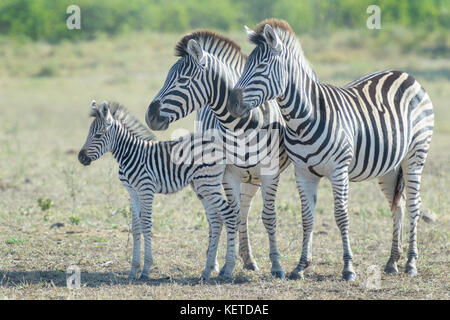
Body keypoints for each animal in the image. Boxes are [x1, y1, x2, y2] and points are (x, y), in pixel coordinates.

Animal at [77, 100, 239, 280]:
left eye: (98, 135)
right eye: (88, 133)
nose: (81, 158)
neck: (129, 154)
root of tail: (217, 145)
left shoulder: (146, 189)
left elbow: (146, 224)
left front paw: (146, 269)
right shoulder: (132, 192)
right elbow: (136, 227)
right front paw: (133, 269)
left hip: (208, 184)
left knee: (229, 215)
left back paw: (228, 269)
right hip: (202, 186)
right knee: (216, 220)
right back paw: (207, 270)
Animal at [145, 31, 292, 278]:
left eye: (182, 81)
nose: (150, 116)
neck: (242, 127)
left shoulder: (269, 173)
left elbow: (268, 216)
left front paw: (277, 266)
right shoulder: (228, 174)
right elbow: (231, 216)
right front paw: (227, 266)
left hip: (252, 178)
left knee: (244, 211)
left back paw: (248, 259)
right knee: (218, 216)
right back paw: (214, 263)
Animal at [230, 19, 434, 280]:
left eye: (262, 66)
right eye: (246, 65)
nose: (232, 104)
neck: (302, 118)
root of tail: (404, 74)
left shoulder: (339, 171)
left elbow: (341, 216)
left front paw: (348, 268)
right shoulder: (303, 173)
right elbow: (307, 218)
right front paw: (300, 266)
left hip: (415, 156)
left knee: (413, 206)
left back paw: (410, 263)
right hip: (390, 167)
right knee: (397, 207)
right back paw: (391, 262)